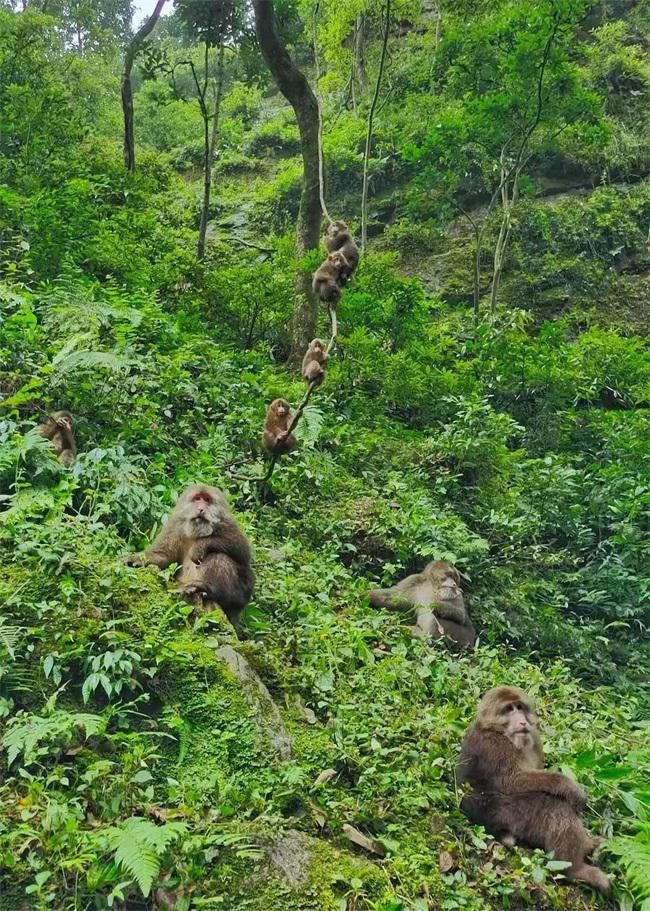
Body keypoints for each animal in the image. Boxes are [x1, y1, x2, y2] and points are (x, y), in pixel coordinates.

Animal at [124, 484, 253, 636]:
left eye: (207, 500)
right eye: (197, 498)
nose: (201, 509)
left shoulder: (226, 523)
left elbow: (241, 550)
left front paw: (199, 547)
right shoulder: (175, 526)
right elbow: (164, 555)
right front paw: (137, 559)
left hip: (239, 596)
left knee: (218, 557)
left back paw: (209, 590)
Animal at [456, 688, 608, 896]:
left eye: (520, 707)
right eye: (509, 709)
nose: (522, 721)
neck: (501, 732)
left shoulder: (534, 738)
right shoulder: (494, 745)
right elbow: (513, 780)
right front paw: (570, 787)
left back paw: (587, 845)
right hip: (503, 813)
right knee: (554, 808)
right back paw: (575, 870)